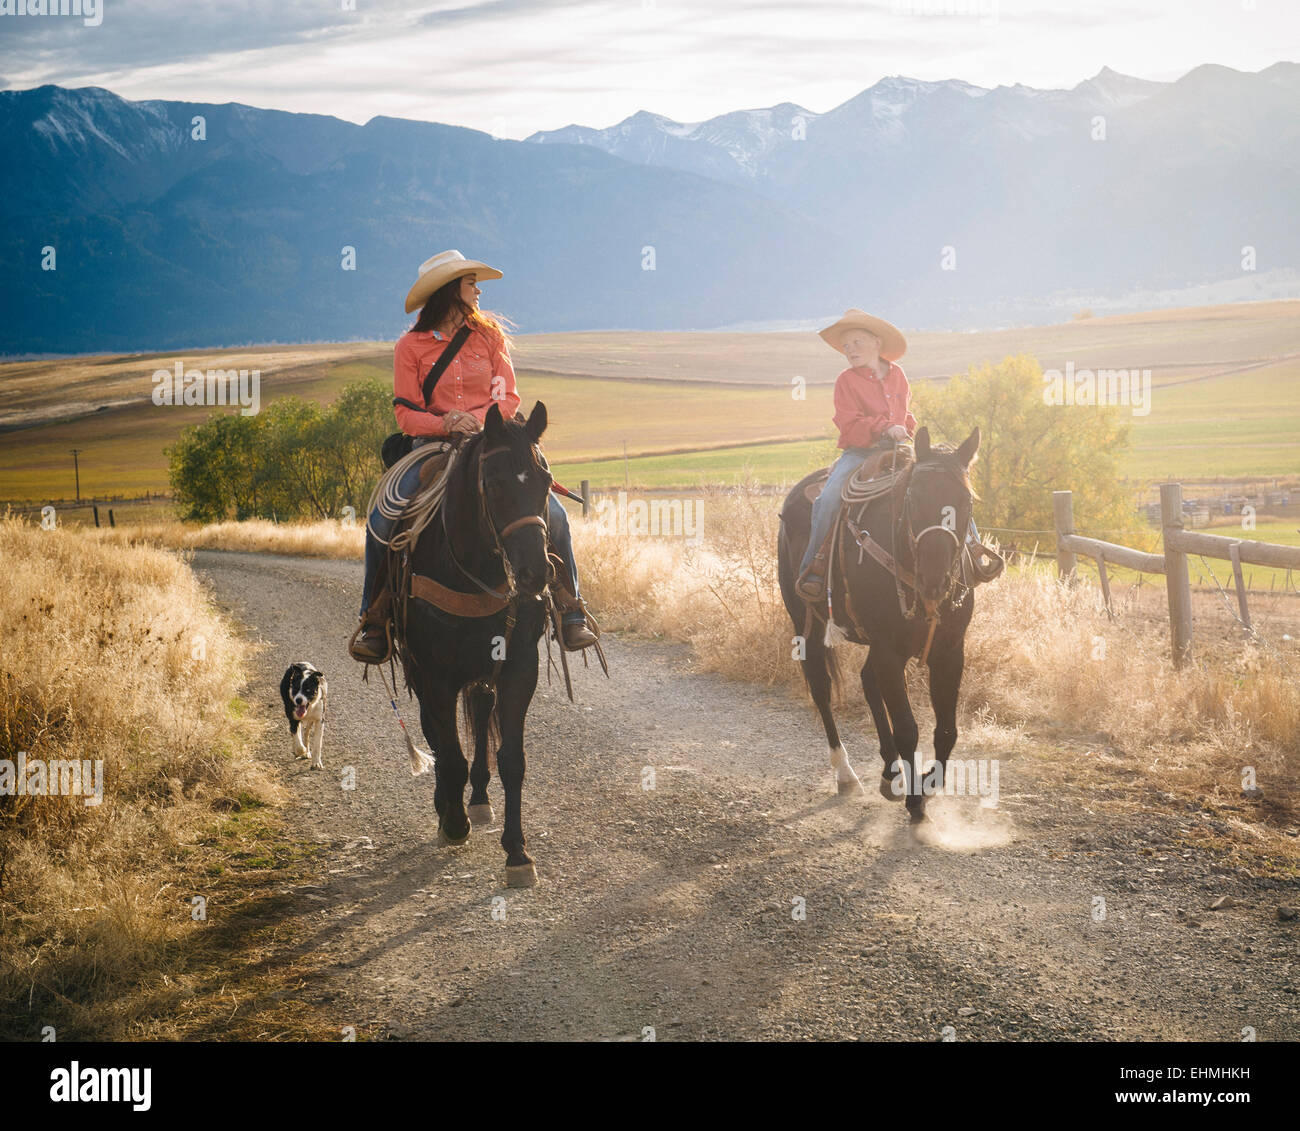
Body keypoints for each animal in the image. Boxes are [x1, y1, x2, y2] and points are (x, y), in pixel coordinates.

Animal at [774, 426, 977, 821]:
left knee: (868, 681)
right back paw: (846, 773)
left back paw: (889, 772)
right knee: (821, 688)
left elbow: (947, 730)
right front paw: (916, 804)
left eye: (966, 501)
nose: (934, 581)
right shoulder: (888, 649)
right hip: (805, 622)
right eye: (913, 497)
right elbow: (908, 729)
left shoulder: (950, 650)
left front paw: (927, 784)